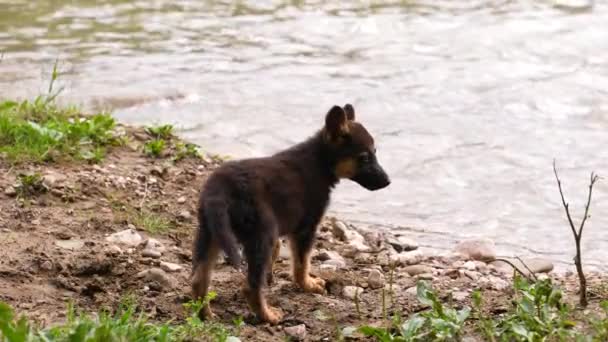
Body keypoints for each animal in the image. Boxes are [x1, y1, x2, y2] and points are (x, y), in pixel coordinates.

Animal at [192, 104, 392, 324]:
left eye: (375, 152)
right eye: (364, 157)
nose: (388, 181)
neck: (320, 161)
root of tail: (220, 189)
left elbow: (283, 256)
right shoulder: (306, 228)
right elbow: (302, 263)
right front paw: (308, 285)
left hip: (210, 233)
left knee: (198, 279)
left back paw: (205, 315)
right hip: (261, 235)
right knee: (250, 286)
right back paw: (268, 315)